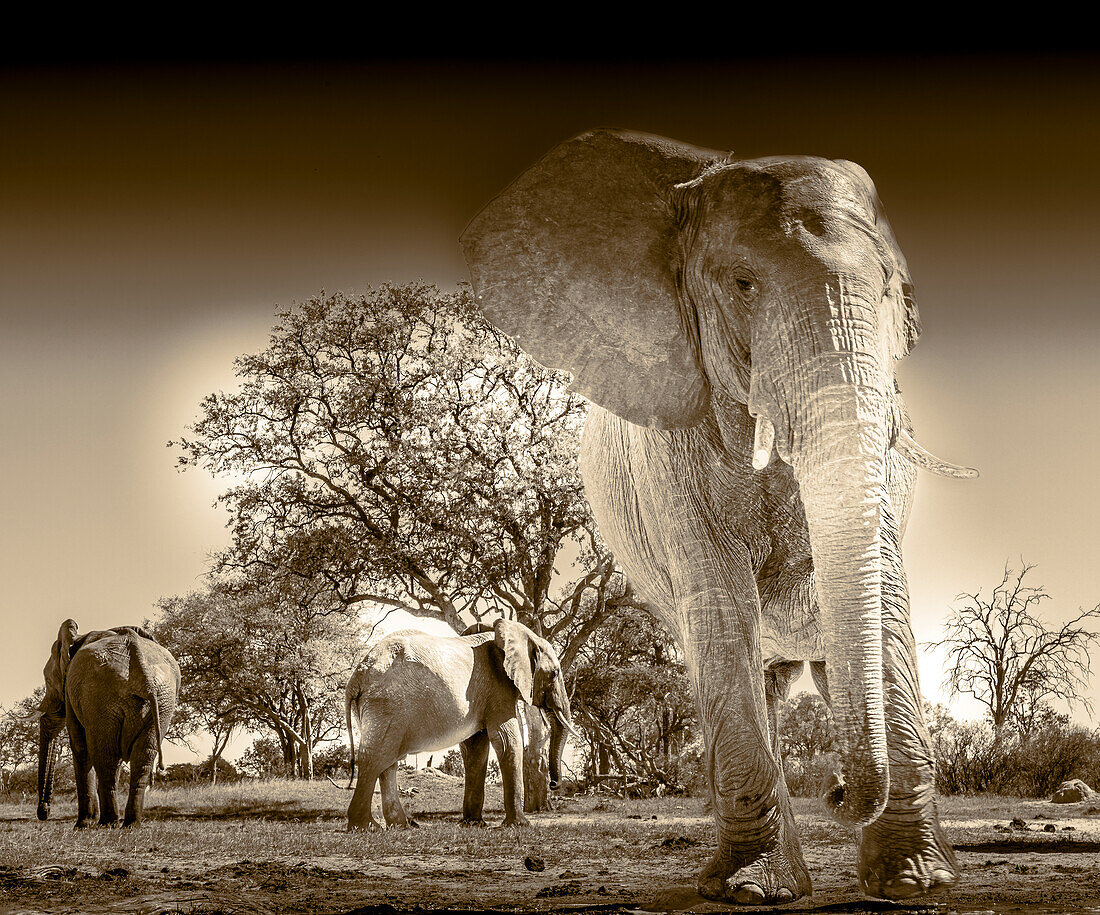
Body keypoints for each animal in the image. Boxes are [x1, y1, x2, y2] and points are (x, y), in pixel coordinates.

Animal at [36, 620, 179, 827]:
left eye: (48, 680)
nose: (44, 812)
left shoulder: (72, 694)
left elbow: (80, 746)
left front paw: (83, 825)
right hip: (163, 701)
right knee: (143, 756)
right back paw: (131, 824)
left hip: (100, 696)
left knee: (104, 755)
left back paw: (106, 823)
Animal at [345, 620, 576, 831]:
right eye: (554, 673)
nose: (554, 784)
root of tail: (357, 676)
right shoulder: (498, 688)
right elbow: (506, 740)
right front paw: (519, 825)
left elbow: (476, 748)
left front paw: (473, 824)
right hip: (388, 704)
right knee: (376, 757)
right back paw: (366, 827)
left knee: (388, 762)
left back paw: (402, 826)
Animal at [459, 130, 976, 906]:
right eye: (742, 285)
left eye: (892, 291)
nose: (837, 792)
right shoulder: (674, 447)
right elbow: (721, 605)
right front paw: (751, 889)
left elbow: (885, 594)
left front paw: (917, 882)